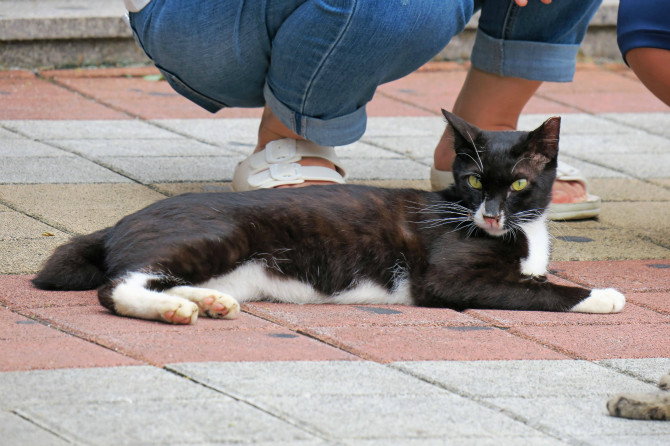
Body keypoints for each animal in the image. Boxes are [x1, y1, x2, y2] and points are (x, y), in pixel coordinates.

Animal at [31, 110, 628, 326]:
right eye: (476, 181)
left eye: (520, 183)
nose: (490, 215)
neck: (520, 233)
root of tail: (120, 222)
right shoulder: (447, 278)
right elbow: (537, 288)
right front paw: (603, 295)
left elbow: (534, 277)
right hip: (219, 235)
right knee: (117, 285)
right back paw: (175, 311)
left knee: (163, 277)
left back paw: (206, 301)